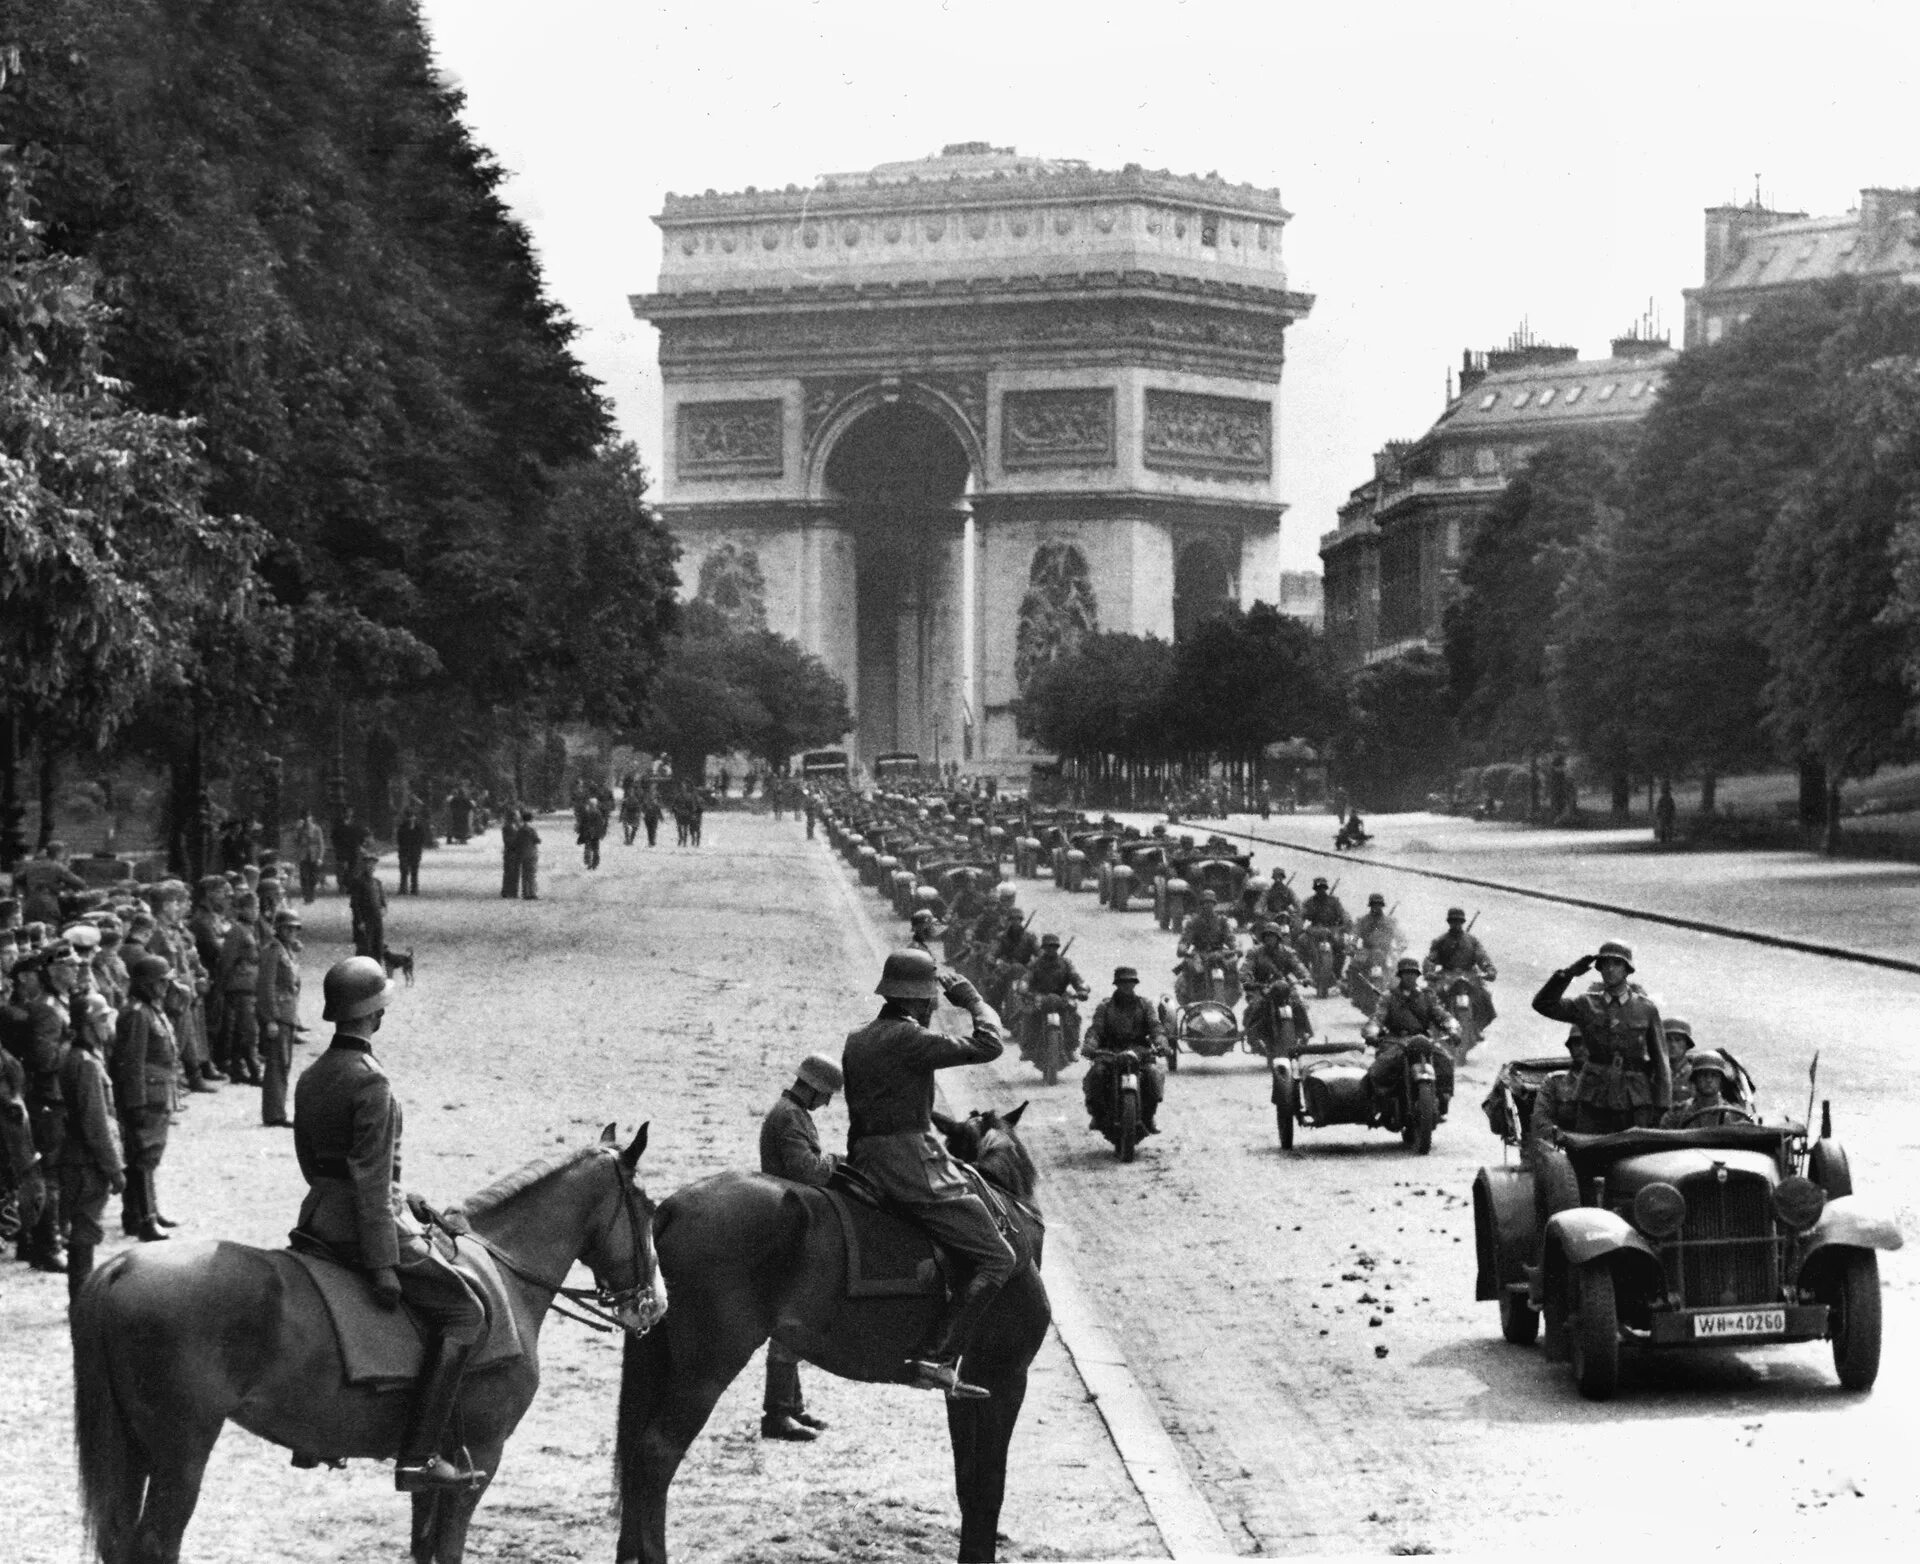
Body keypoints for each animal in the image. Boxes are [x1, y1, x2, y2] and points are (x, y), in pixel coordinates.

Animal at [72, 1128, 668, 1564]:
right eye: (648, 1206)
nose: (656, 1303)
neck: (501, 1273)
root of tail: (122, 1266)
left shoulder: (434, 1465)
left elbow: (424, 1547)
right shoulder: (480, 1458)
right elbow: (447, 1549)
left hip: (137, 1448)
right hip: (181, 1454)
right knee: (155, 1543)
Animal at [614, 1097, 1044, 1564]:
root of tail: (672, 1207)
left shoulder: (965, 1388)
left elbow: (968, 1481)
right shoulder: (1005, 1378)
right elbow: (989, 1486)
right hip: (705, 1373)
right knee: (656, 1456)